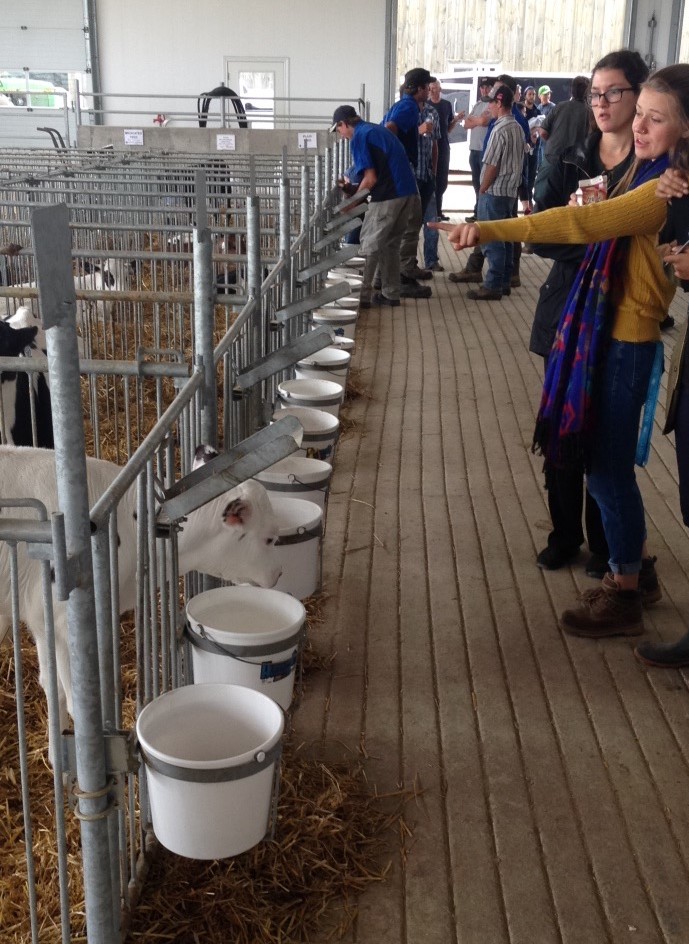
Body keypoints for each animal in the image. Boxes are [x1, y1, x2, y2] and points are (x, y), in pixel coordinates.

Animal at [0, 446, 282, 764]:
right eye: (269, 538)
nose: (279, 574)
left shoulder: (41, 620)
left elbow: (50, 686)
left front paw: (55, 755)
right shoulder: (59, 621)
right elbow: (68, 699)